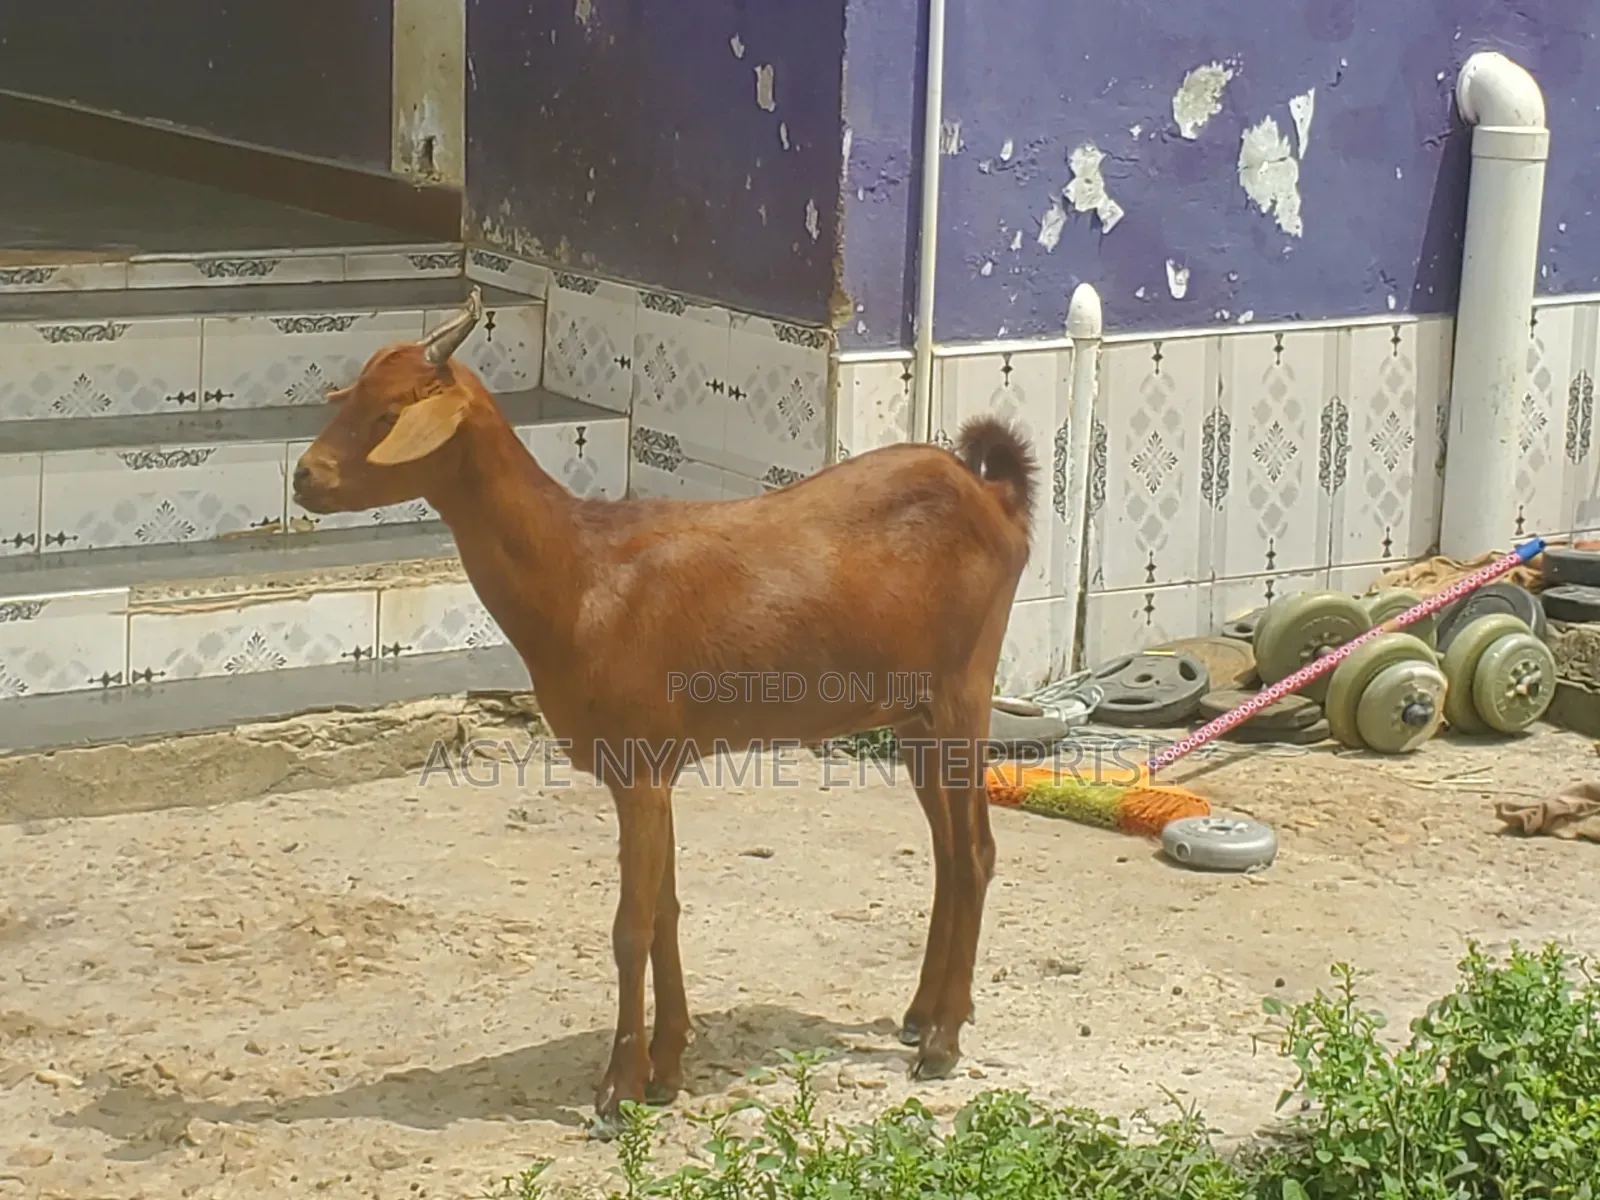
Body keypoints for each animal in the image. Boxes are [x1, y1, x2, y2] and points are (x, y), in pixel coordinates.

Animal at [292, 287, 1039, 1130]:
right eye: (353, 397)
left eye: (389, 413)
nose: (304, 477)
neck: (581, 574)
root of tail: (994, 494)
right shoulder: (658, 768)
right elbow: (669, 911)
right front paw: (670, 1064)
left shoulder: (639, 763)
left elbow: (632, 925)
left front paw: (619, 1087)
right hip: (912, 714)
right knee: (947, 852)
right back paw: (925, 1012)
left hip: (964, 690)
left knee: (975, 852)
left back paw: (941, 1042)